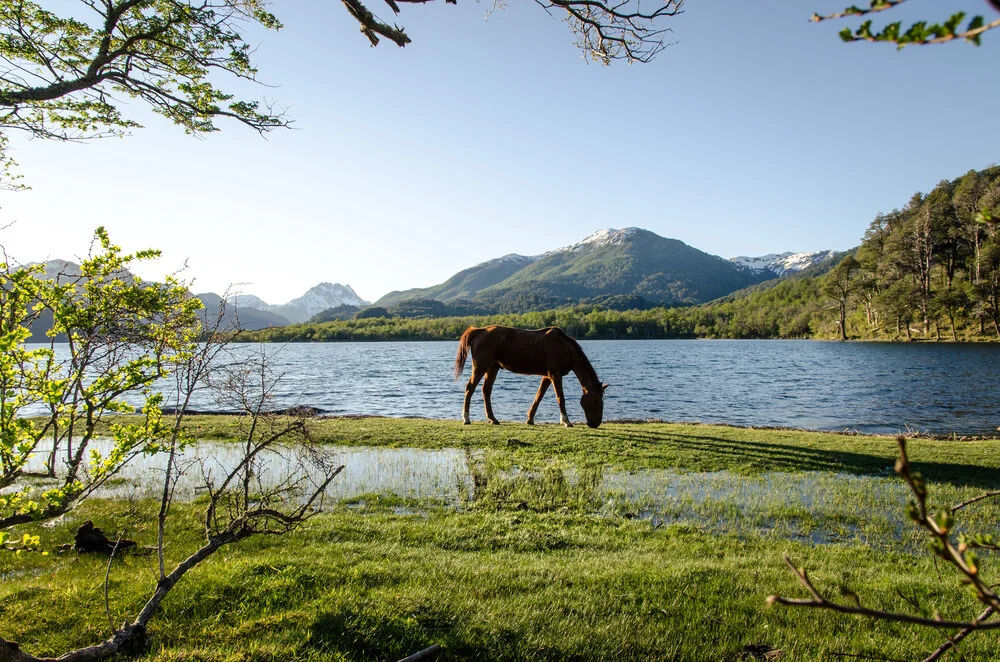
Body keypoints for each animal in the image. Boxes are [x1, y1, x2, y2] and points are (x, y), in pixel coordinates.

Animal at [456, 326, 608, 430]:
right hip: (481, 367)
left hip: (493, 368)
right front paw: (566, 421)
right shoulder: (555, 374)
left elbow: (539, 396)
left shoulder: (547, 376)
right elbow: (560, 397)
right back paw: (466, 418)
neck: (564, 347)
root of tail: (479, 330)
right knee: (470, 388)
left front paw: (530, 419)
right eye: (597, 402)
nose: (595, 424)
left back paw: (493, 419)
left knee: (486, 390)